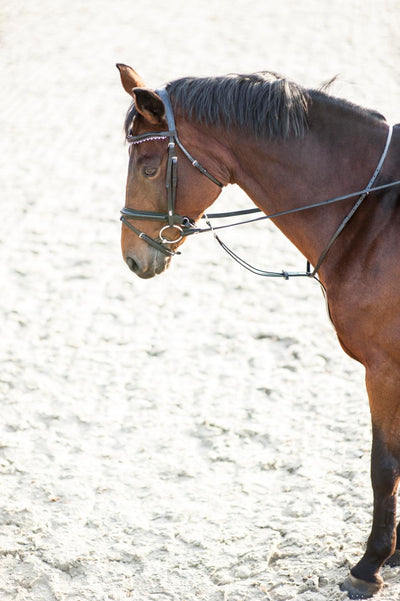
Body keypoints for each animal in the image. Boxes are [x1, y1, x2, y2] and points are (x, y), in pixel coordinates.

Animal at [115, 63, 400, 596]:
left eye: (148, 167)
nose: (132, 256)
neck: (373, 213)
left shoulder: (384, 369)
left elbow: (383, 466)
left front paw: (370, 565)